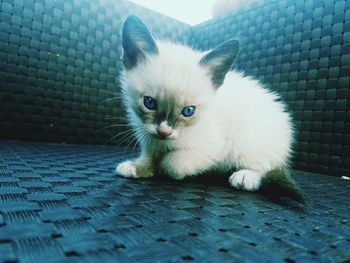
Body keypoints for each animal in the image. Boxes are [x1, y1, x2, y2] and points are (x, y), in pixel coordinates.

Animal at [116, 16, 304, 202]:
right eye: (149, 103)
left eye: (188, 111)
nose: (164, 131)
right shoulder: (147, 135)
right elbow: (149, 153)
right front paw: (139, 167)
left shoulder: (213, 147)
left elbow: (172, 164)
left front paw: (163, 168)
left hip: (248, 139)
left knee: (265, 164)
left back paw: (246, 177)